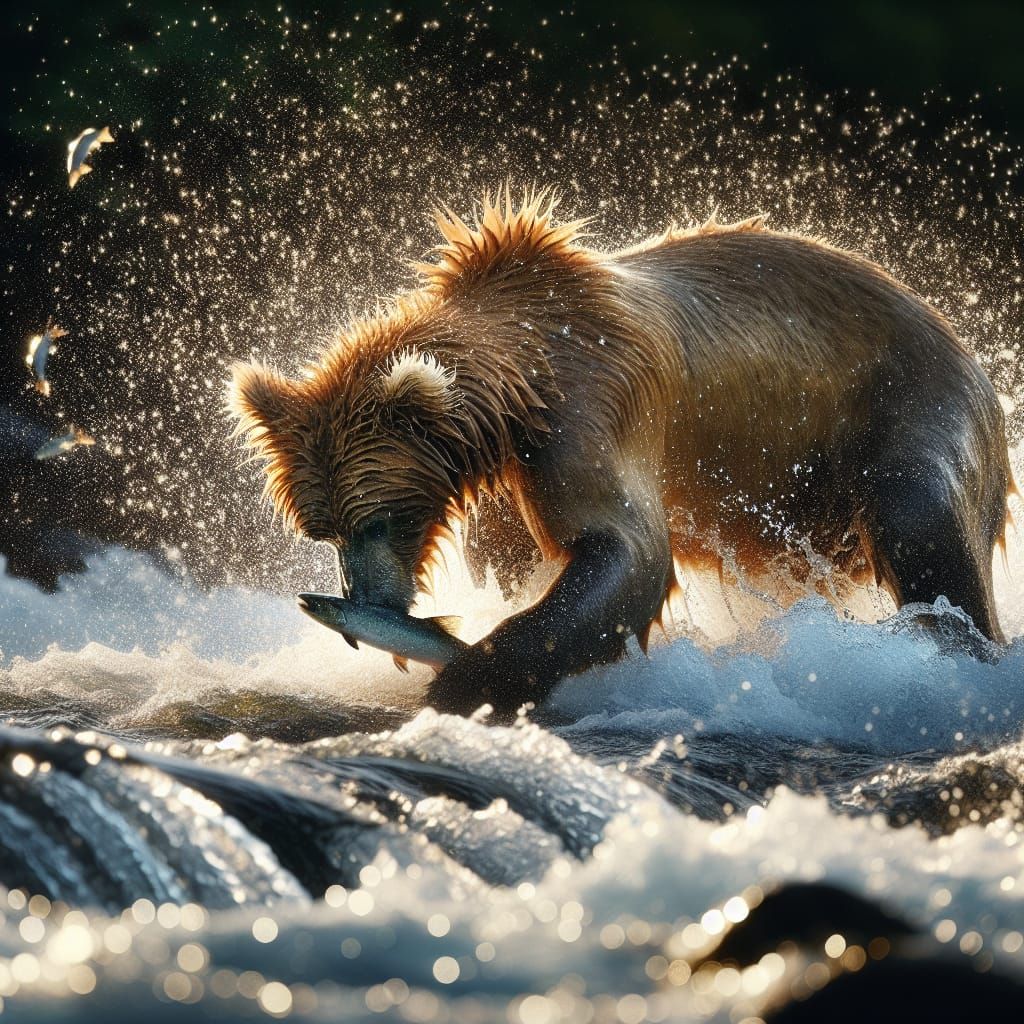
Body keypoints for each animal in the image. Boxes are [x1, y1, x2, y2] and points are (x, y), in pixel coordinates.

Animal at [230, 187, 1014, 718]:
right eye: (323, 529)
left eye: (378, 519)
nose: (366, 599)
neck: (522, 381)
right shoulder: (513, 470)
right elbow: (520, 551)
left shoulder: (590, 406)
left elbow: (624, 545)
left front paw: (467, 675)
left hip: (910, 400)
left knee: (920, 516)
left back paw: (958, 653)